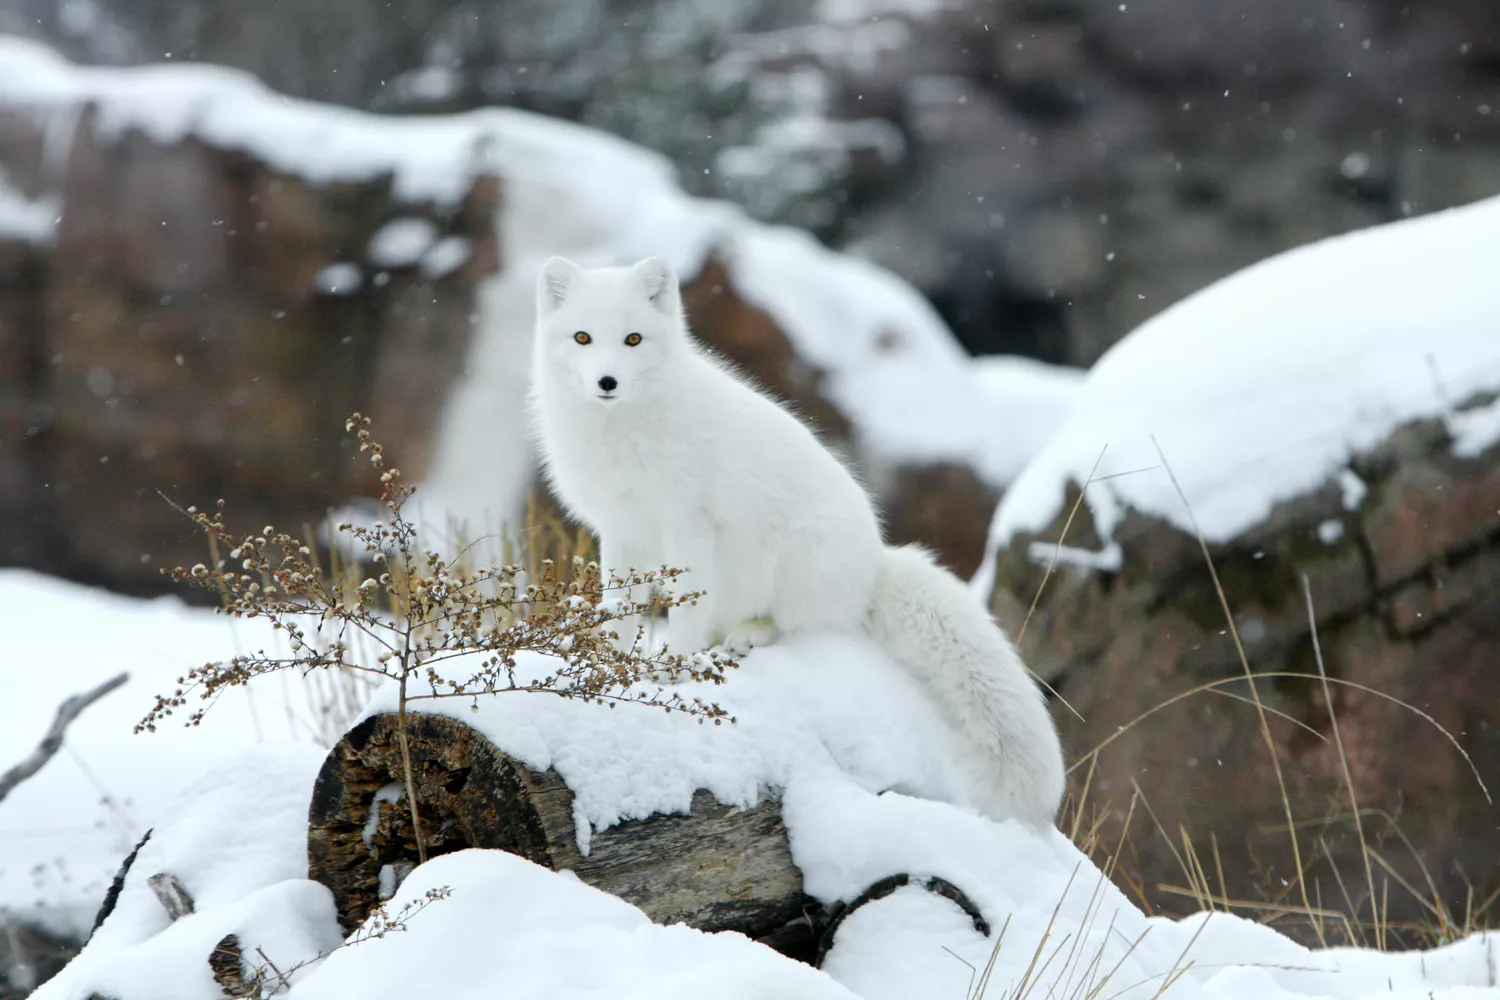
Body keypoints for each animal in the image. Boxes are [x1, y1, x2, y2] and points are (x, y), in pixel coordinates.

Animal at [528, 254, 1068, 827]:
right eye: (582, 337)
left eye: (633, 339)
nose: (607, 381)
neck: (621, 433)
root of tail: (874, 567)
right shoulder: (622, 531)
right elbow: (619, 609)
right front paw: (607, 663)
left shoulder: (689, 523)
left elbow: (686, 610)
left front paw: (674, 670)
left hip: (792, 562)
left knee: (798, 629)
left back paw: (749, 634)